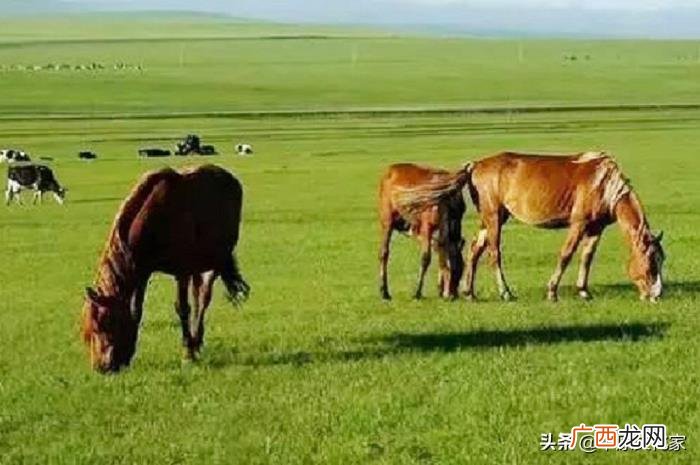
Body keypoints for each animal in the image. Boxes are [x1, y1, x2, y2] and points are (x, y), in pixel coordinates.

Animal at [82, 165, 250, 373]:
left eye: (103, 324)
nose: (101, 367)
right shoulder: (142, 271)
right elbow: (136, 310)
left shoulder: (182, 271)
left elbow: (183, 308)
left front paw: (187, 353)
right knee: (198, 296)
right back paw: (197, 341)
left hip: (215, 260)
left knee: (203, 298)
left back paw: (195, 340)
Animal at [378, 163, 471, 300]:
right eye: (456, 269)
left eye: (462, 268)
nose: (453, 294)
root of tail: (389, 170)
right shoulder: (427, 226)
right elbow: (426, 257)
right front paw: (418, 292)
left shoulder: (440, 227)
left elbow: (441, 251)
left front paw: (441, 290)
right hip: (387, 220)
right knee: (384, 252)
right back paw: (384, 291)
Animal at [462, 151, 665, 302]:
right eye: (651, 262)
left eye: (661, 260)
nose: (657, 295)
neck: (604, 185)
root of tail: (476, 165)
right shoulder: (578, 224)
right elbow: (566, 254)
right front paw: (552, 292)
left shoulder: (596, 228)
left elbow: (587, 257)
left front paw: (584, 291)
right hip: (494, 218)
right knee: (494, 253)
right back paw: (505, 292)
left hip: (490, 220)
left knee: (474, 250)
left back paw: (469, 293)